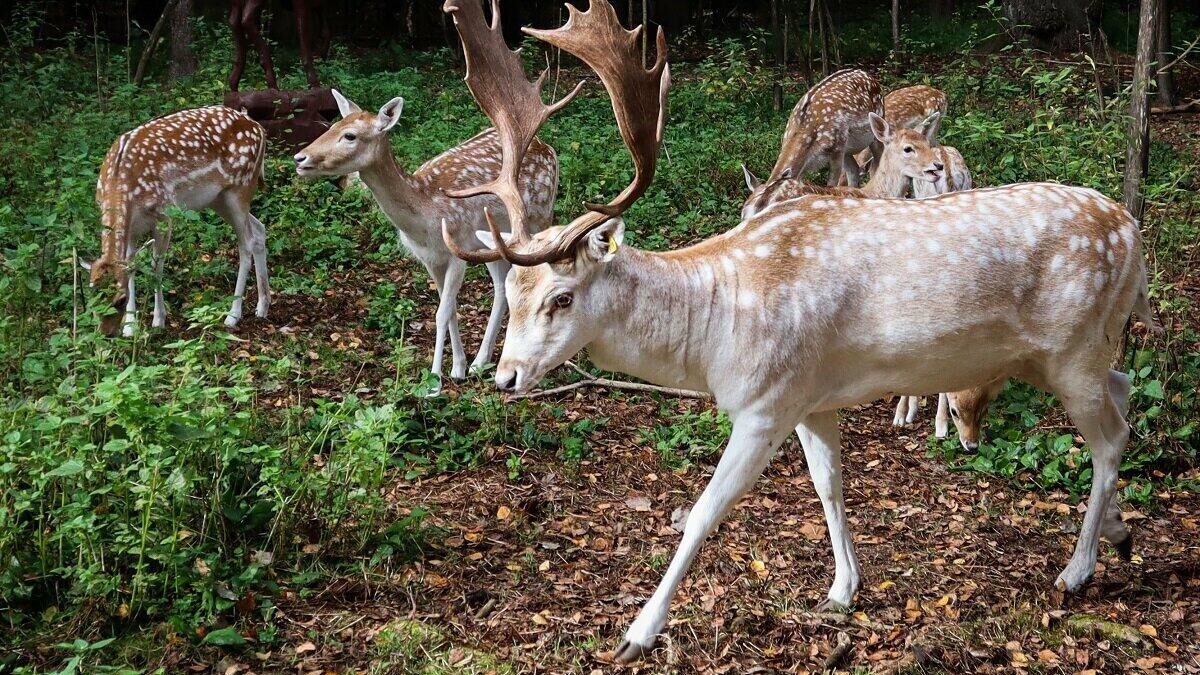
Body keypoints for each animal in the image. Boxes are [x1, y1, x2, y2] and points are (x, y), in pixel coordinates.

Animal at [444, 0, 1161, 662]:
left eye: (562, 297)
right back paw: (1120, 534)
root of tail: (1134, 235)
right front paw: (842, 589)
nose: (506, 375)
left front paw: (637, 633)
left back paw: (1077, 570)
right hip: (1072, 353)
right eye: (512, 292)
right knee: (1125, 391)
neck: (716, 332)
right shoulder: (813, 398)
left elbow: (703, 511)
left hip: (1073, 350)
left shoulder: (766, 402)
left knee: (1112, 438)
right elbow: (829, 486)